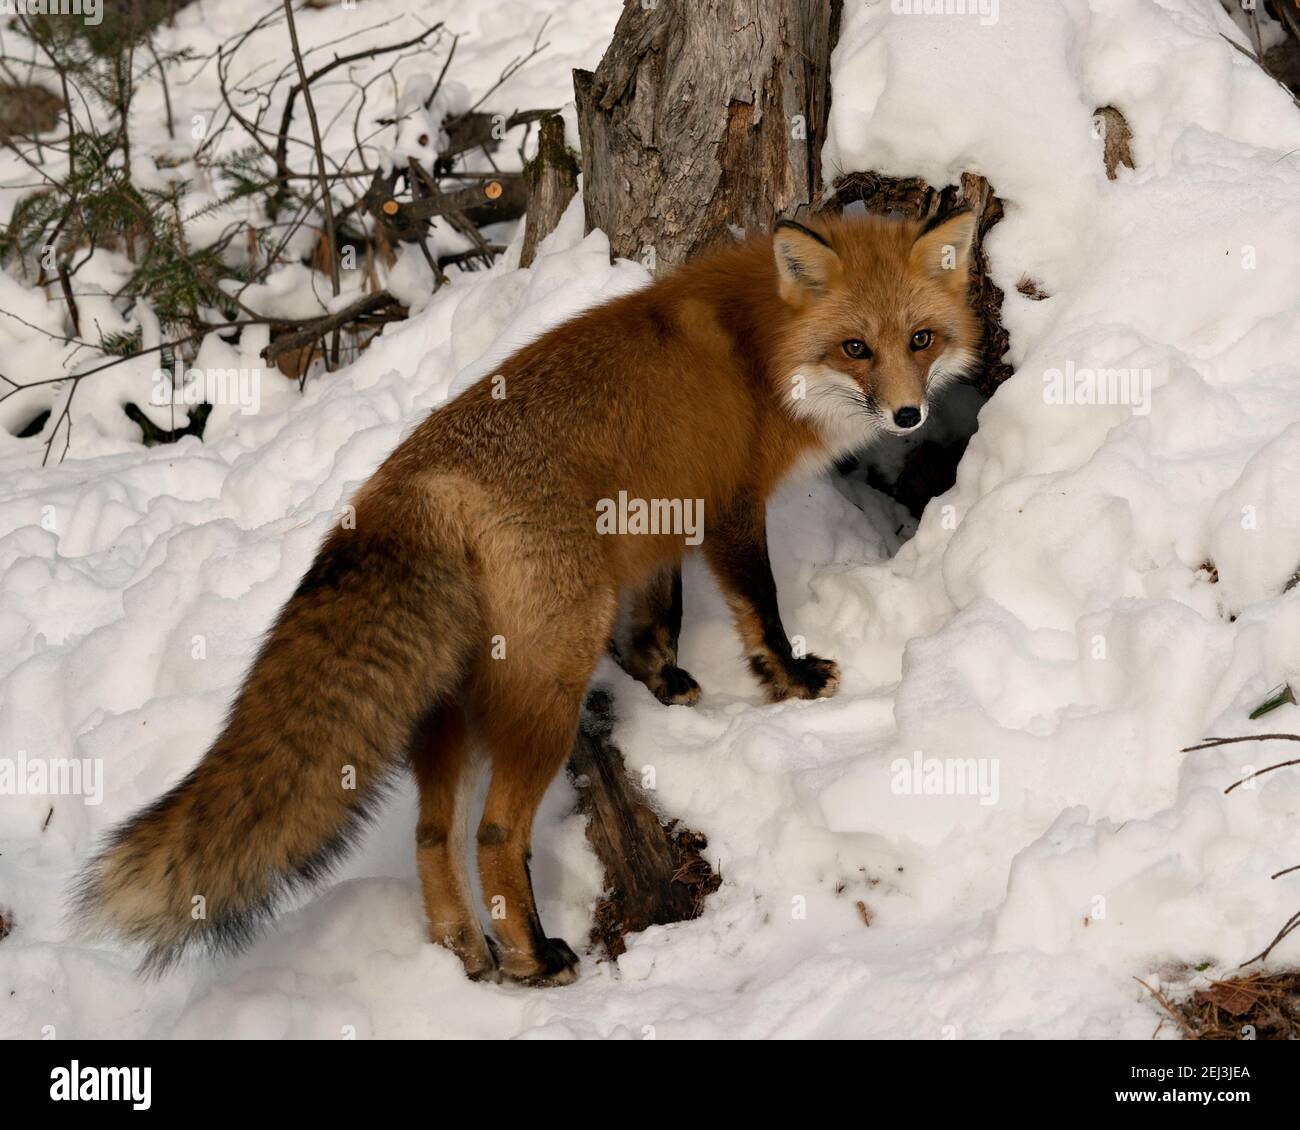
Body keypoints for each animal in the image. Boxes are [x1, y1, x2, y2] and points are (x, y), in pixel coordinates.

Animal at [76, 209, 977, 977]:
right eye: (855, 347)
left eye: (921, 339)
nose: (907, 415)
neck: (759, 350)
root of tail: (413, 485)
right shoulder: (727, 507)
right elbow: (759, 610)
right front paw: (790, 682)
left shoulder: (658, 522)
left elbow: (658, 617)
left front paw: (665, 683)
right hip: (547, 684)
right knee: (493, 835)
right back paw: (534, 957)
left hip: (451, 704)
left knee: (432, 834)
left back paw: (467, 954)